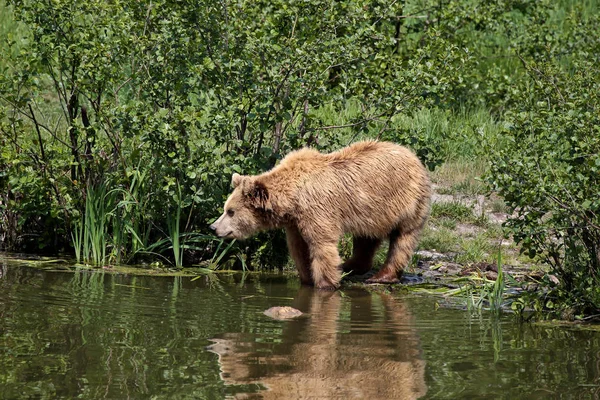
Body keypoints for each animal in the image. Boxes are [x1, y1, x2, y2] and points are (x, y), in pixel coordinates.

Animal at [211, 141, 432, 290]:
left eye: (230, 211)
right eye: (225, 208)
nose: (213, 227)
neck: (293, 198)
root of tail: (414, 157)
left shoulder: (317, 209)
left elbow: (321, 244)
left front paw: (325, 283)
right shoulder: (295, 221)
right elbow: (299, 248)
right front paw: (307, 278)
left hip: (406, 202)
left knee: (402, 239)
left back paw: (382, 275)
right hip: (372, 211)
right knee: (366, 238)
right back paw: (352, 265)